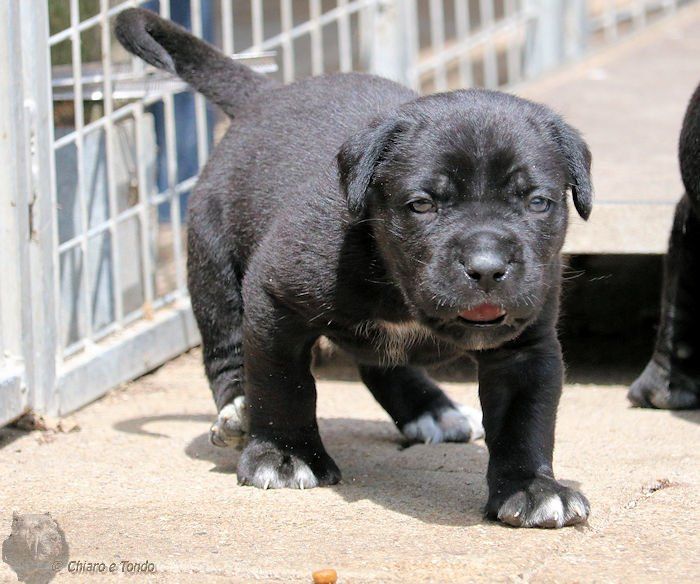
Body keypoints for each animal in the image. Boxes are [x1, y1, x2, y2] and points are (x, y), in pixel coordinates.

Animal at [116, 8, 593, 528]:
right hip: (212, 258)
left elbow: (524, 418)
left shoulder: (526, 344)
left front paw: (531, 489)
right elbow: (283, 382)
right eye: (422, 204)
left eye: (538, 202)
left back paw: (433, 409)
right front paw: (285, 456)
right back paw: (239, 411)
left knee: (382, 362)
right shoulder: (274, 295)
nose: (486, 268)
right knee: (226, 346)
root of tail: (267, 94)